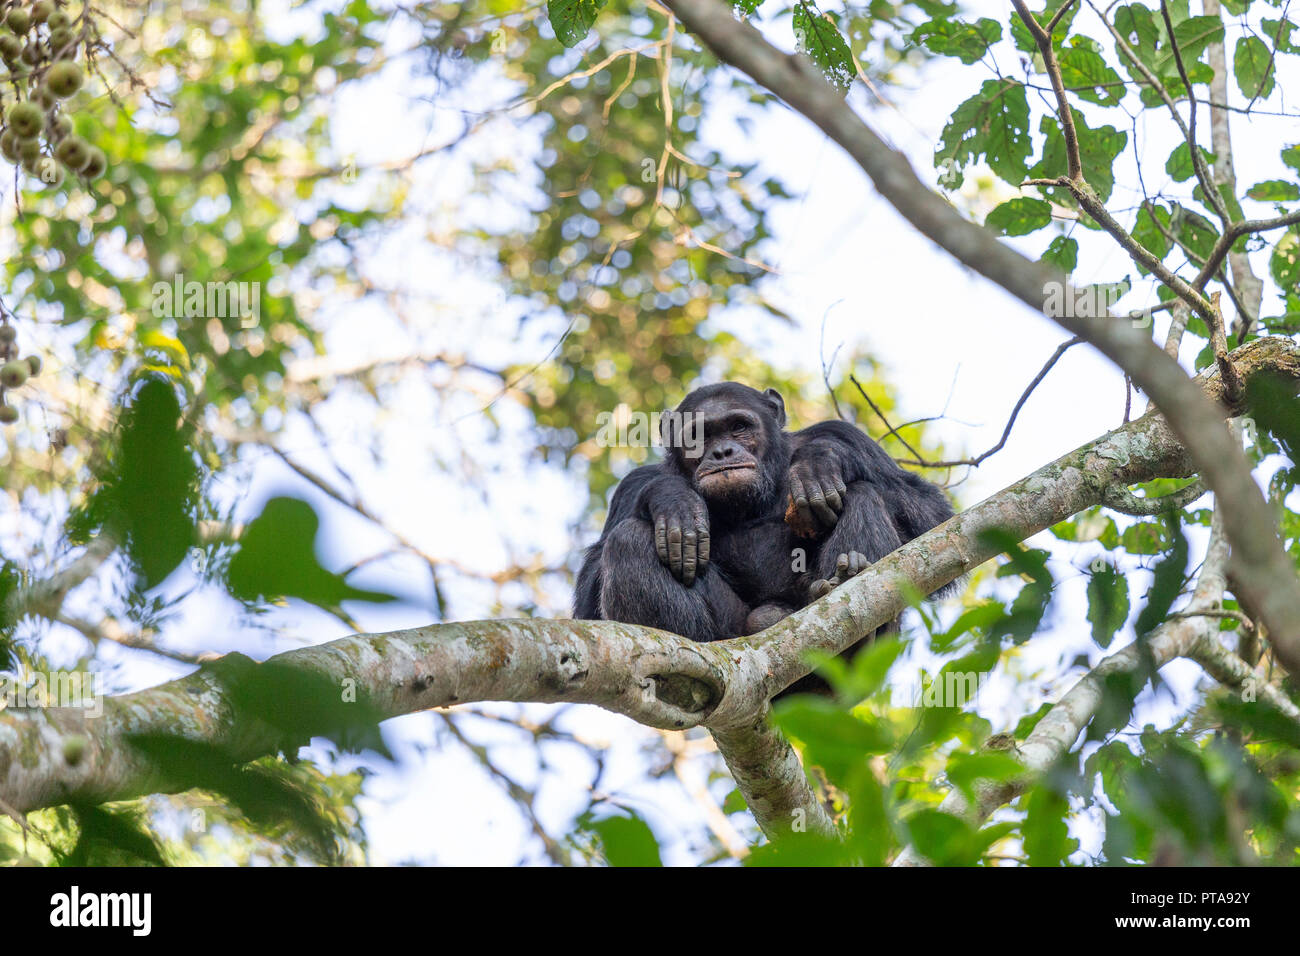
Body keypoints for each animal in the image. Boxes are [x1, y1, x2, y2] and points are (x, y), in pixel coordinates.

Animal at [572, 382, 956, 697]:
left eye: (739, 427)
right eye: (699, 435)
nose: (722, 452)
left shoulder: (847, 434)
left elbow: (930, 516)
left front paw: (821, 460)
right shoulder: (631, 484)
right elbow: (591, 605)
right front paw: (671, 496)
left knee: (864, 493)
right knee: (629, 538)